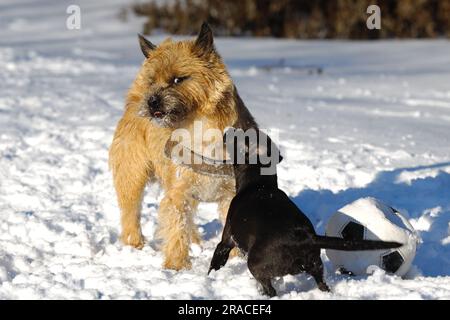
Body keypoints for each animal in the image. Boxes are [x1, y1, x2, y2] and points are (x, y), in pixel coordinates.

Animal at [109, 22, 253, 270]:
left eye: (178, 79)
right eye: (152, 81)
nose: (152, 101)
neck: (199, 128)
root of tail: (135, 99)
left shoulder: (229, 195)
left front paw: (234, 260)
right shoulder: (177, 194)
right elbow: (176, 228)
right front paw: (177, 266)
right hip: (132, 176)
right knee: (130, 212)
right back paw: (134, 243)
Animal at [209, 128, 402, 298]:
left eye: (240, 137)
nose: (228, 130)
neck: (260, 184)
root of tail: (304, 237)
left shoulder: (227, 240)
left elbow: (215, 262)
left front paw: (209, 278)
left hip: (256, 264)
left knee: (270, 290)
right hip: (316, 266)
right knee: (323, 285)